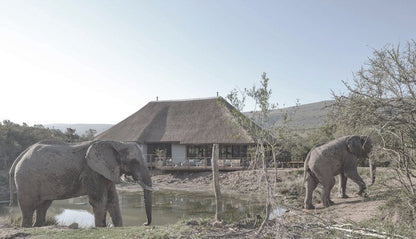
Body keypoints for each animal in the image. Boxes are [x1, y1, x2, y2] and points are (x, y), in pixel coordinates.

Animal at [8, 140, 154, 228]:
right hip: (26, 179)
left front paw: (117, 227)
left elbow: (113, 200)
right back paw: (27, 227)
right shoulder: (92, 171)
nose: (144, 224)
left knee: (43, 205)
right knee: (28, 206)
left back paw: (38, 226)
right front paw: (101, 228)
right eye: (134, 161)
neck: (116, 143)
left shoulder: (107, 171)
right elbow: (99, 201)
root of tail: (20, 156)